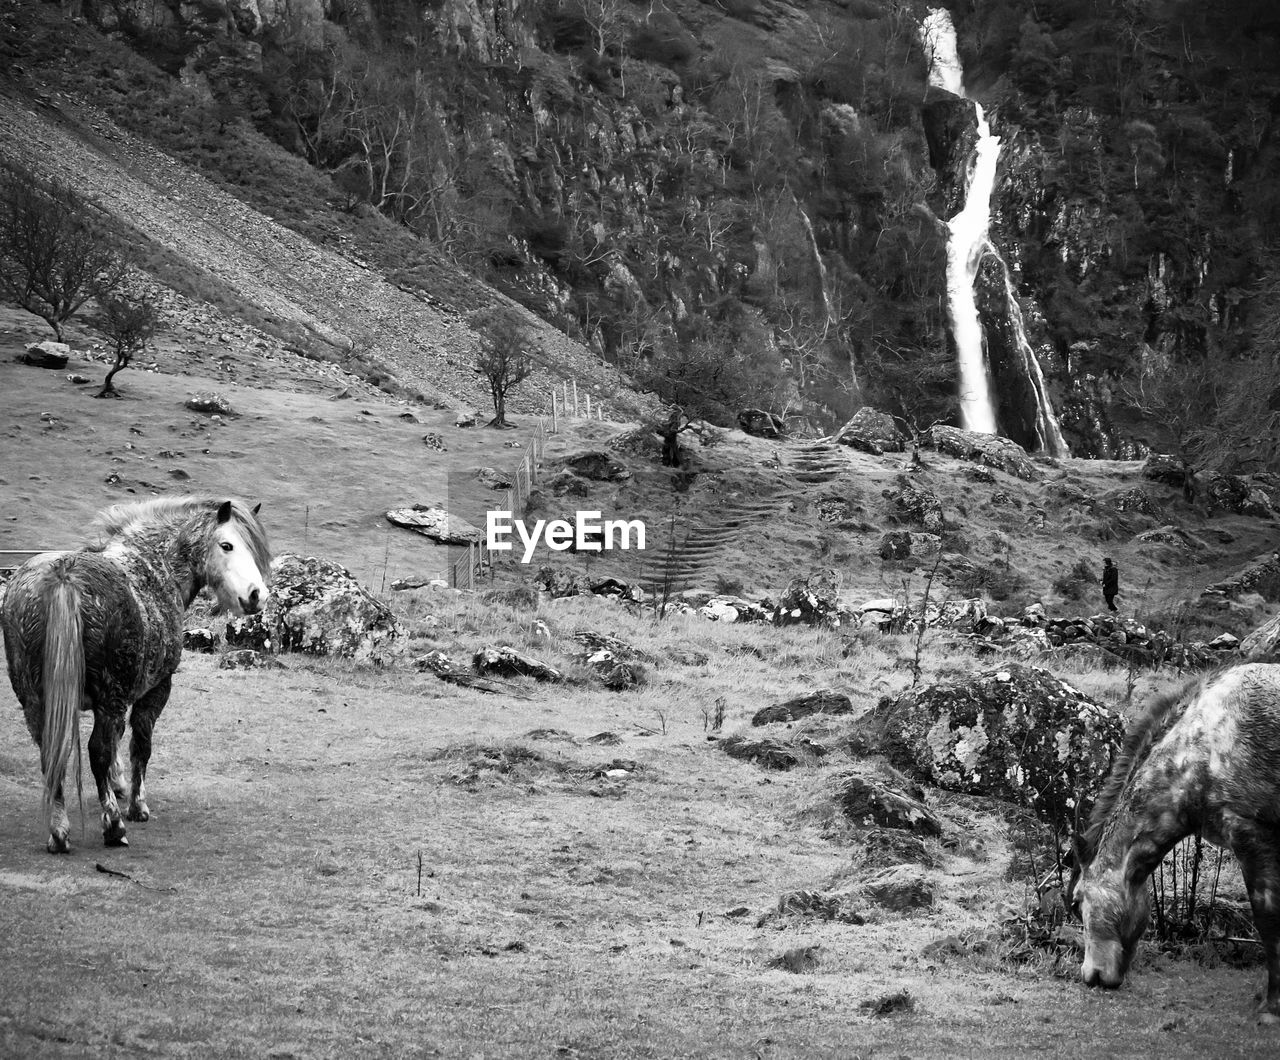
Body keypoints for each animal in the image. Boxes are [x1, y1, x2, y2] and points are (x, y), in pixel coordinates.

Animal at [1, 496, 267, 855]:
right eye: (227, 545)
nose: (257, 595)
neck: (155, 566)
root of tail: (64, 575)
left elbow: (116, 743)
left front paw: (118, 785)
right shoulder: (153, 691)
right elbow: (140, 745)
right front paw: (136, 805)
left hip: (35, 700)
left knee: (51, 753)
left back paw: (59, 832)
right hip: (108, 696)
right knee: (96, 751)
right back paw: (114, 826)